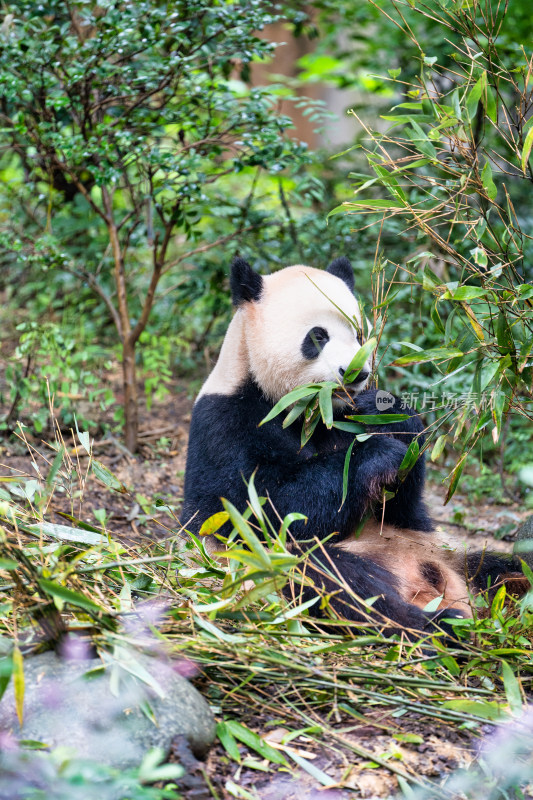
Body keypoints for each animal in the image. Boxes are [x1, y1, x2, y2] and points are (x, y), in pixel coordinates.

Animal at [181, 260, 520, 636]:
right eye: (318, 336)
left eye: (359, 335)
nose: (356, 373)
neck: (311, 409)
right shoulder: (225, 425)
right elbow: (258, 511)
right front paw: (377, 455)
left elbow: (403, 504)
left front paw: (383, 413)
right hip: (273, 570)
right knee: (332, 579)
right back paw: (433, 625)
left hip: (452, 554)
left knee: (503, 566)